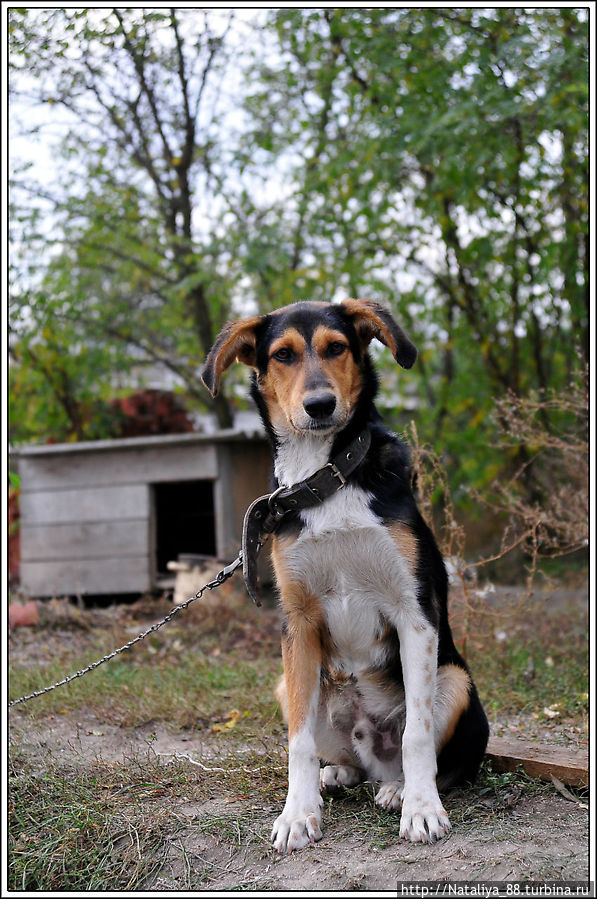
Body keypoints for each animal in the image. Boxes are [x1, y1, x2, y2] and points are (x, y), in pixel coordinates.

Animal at [201, 298, 488, 856]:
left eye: (336, 347)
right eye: (283, 355)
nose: (319, 405)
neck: (327, 477)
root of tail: (371, 749)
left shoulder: (414, 612)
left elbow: (418, 733)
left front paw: (422, 811)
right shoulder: (297, 622)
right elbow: (298, 743)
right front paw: (298, 814)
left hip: (456, 680)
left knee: (428, 759)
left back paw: (400, 790)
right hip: (289, 682)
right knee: (342, 757)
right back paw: (338, 774)